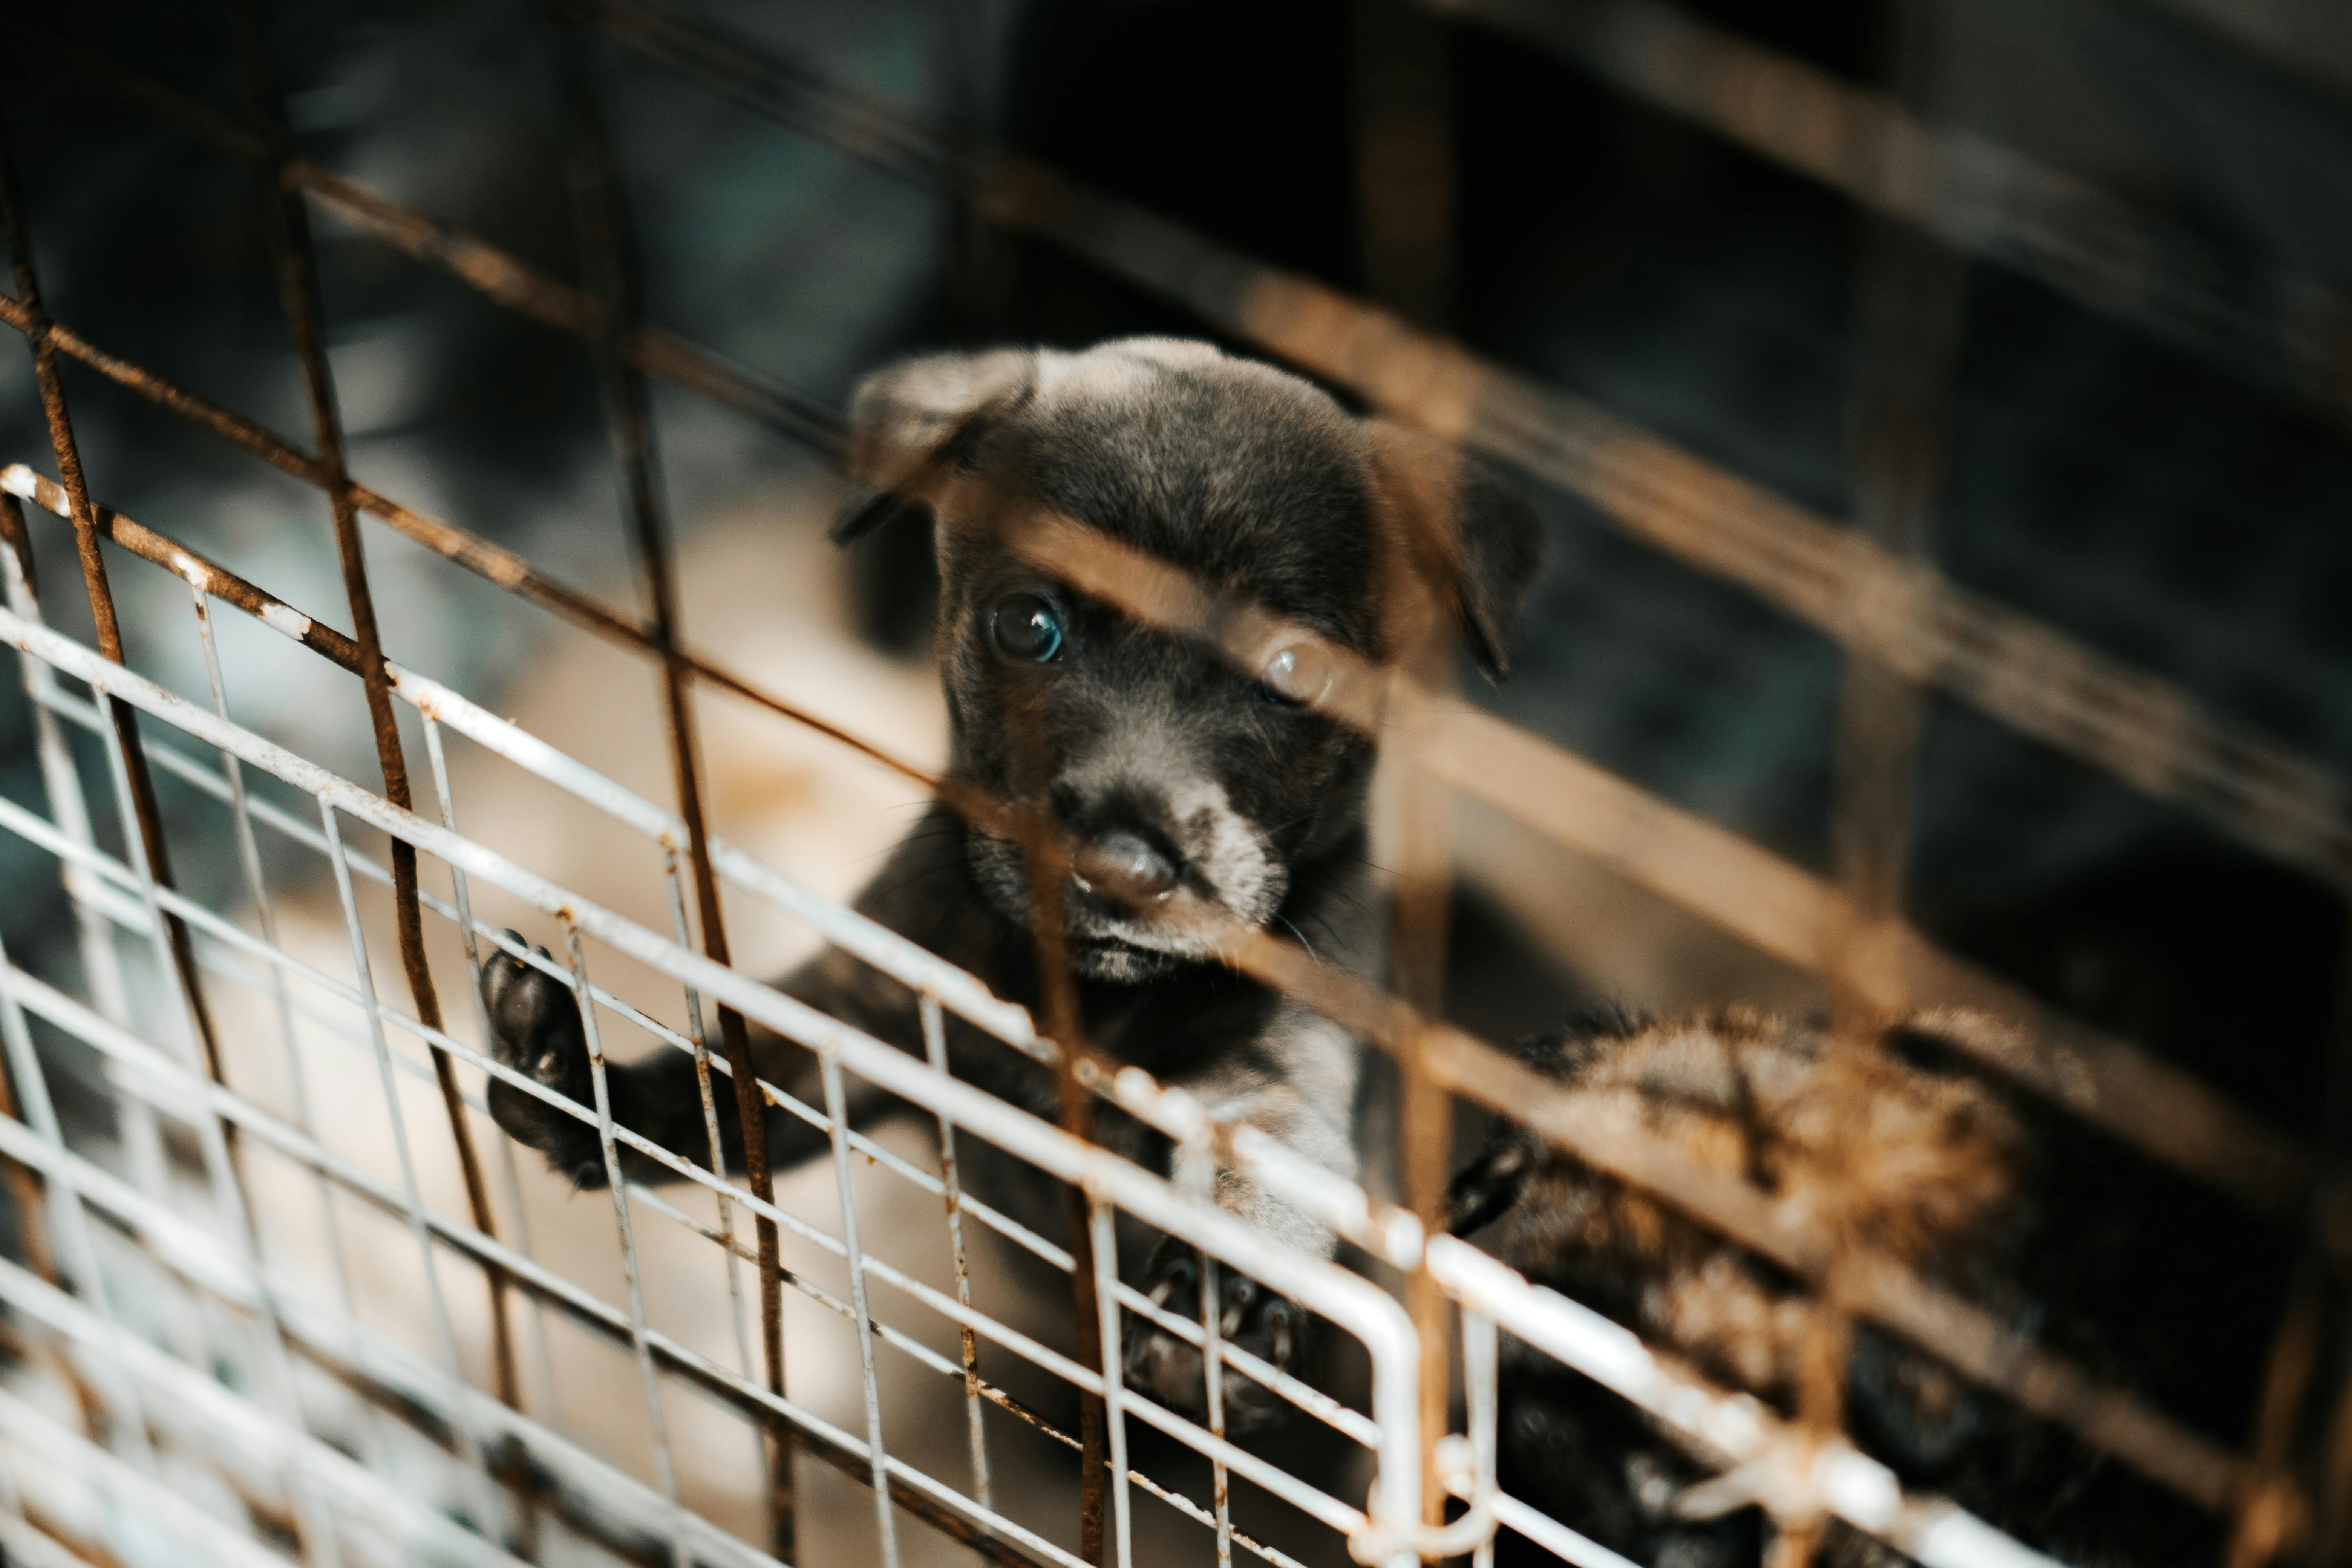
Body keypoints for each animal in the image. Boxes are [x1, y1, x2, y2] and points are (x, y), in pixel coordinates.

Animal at [477, 338, 1543, 1429]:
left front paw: (1224, 1300)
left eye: (1297, 670)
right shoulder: (854, 1025)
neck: (1089, 1001)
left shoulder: (1279, 1074)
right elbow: (720, 1092)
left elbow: (1264, 1176)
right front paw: (577, 1085)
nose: (1121, 870)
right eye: (1028, 624)